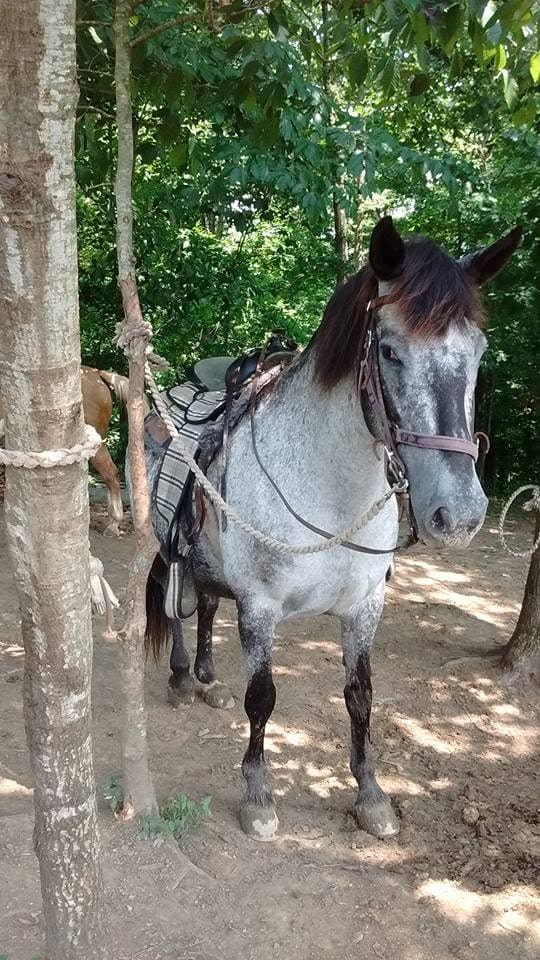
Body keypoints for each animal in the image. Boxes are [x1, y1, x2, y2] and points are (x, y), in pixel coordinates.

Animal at [143, 216, 521, 841]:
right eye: (389, 350)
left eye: (479, 351)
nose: (460, 514)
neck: (330, 495)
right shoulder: (261, 606)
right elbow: (263, 698)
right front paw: (259, 796)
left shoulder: (364, 606)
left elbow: (360, 697)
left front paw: (371, 796)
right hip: (170, 543)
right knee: (179, 606)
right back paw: (178, 679)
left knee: (208, 605)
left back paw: (207, 678)